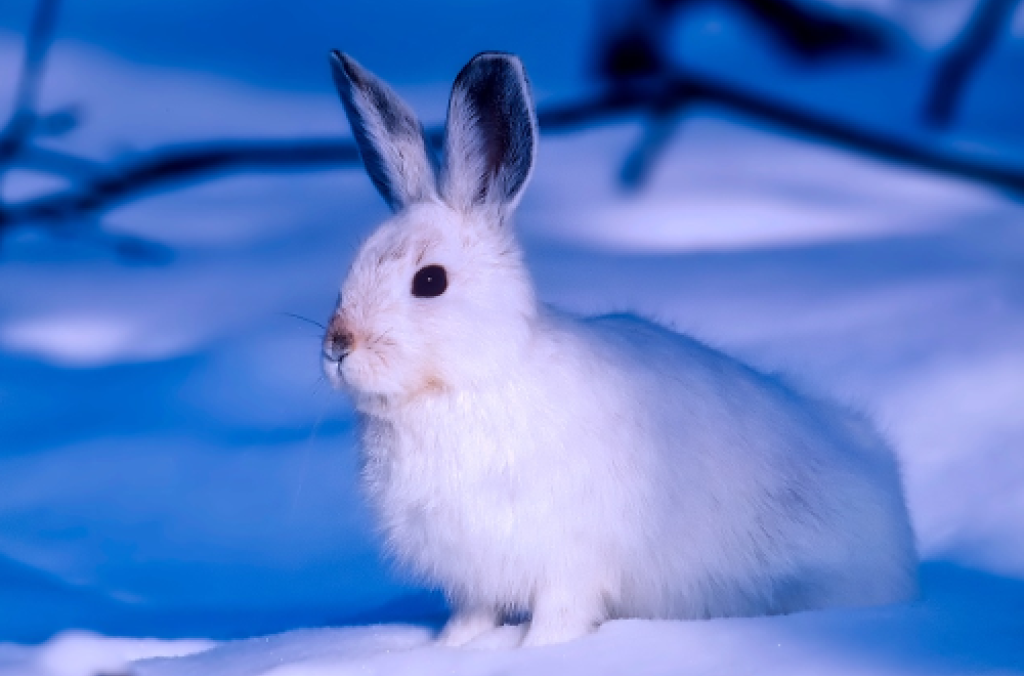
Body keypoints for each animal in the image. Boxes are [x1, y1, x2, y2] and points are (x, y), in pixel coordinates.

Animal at [322, 50, 918, 648]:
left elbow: (558, 617)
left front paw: (533, 651)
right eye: (349, 272)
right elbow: (473, 615)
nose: (337, 346)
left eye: (430, 281)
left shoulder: (567, 564)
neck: (472, 380)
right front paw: (451, 648)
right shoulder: (475, 578)